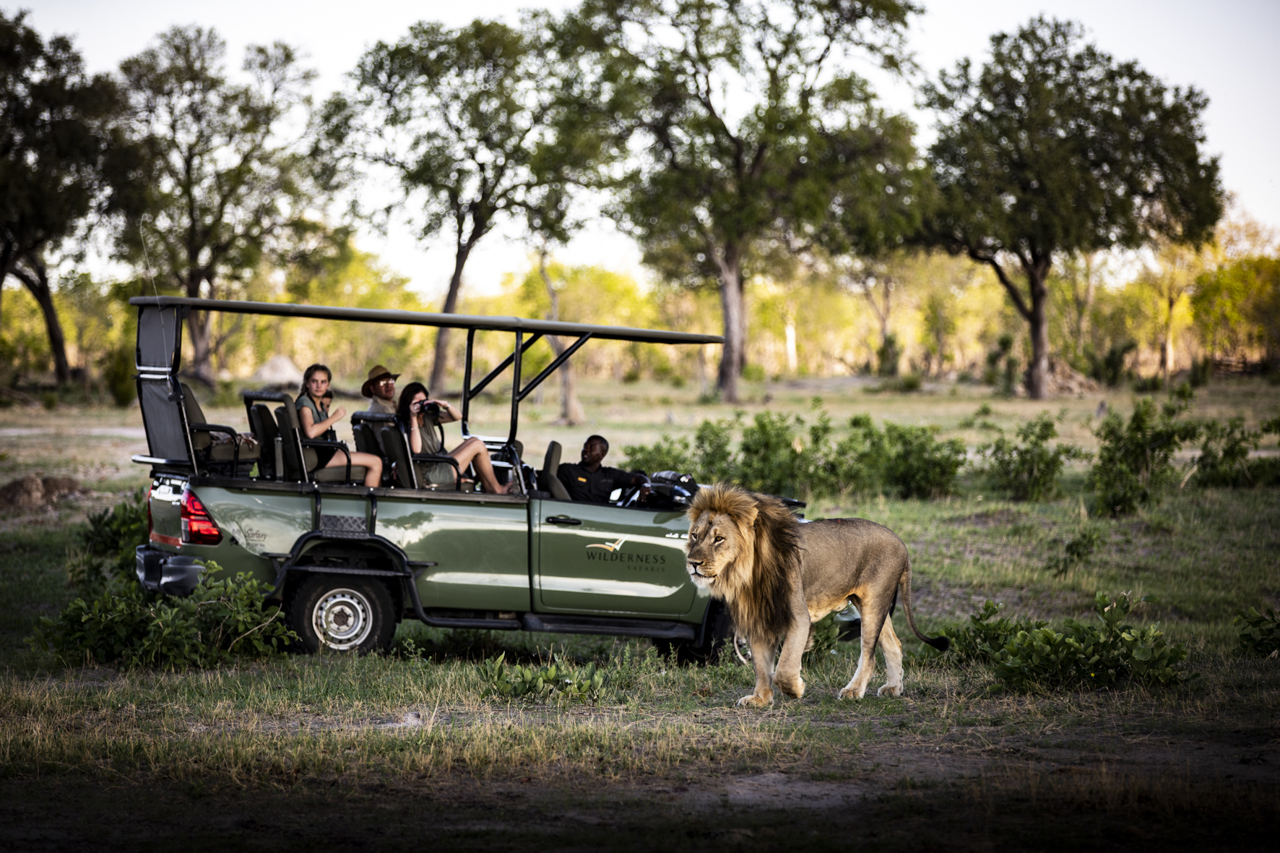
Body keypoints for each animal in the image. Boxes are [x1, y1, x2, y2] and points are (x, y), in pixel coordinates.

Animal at [685, 483, 949, 707]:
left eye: (719, 539)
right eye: (695, 536)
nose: (692, 563)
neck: (746, 573)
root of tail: (902, 543)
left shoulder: (798, 616)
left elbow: (784, 667)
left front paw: (795, 689)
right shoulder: (758, 617)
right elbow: (760, 664)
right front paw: (760, 699)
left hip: (874, 602)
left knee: (869, 653)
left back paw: (853, 691)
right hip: (870, 603)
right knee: (894, 644)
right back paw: (894, 689)